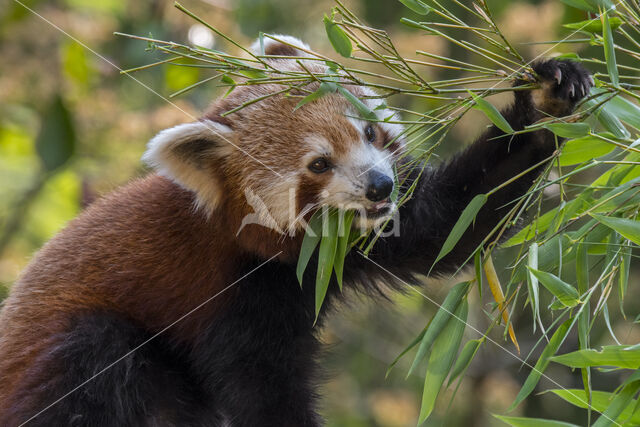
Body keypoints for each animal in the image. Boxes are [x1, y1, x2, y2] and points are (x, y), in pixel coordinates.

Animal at [0, 35, 596, 426]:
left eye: (370, 132)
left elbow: (445, 222)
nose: (379, 186)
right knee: (97, 358)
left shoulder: (350, 244)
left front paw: (547, 99)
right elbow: (263, 390)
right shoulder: (233, 293)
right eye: (319, 164)